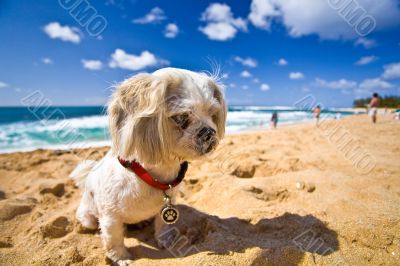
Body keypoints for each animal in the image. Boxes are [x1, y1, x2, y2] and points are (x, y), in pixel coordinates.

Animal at [70, 67, 227, 262]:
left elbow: (162, 226)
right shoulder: (110, 217)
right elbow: (114, 238)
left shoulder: (165, 209)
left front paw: (166, 242)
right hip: (88, 217)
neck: (153, 176)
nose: (208, 132)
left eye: (213, 114)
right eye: (181, 117)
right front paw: (120, 257)